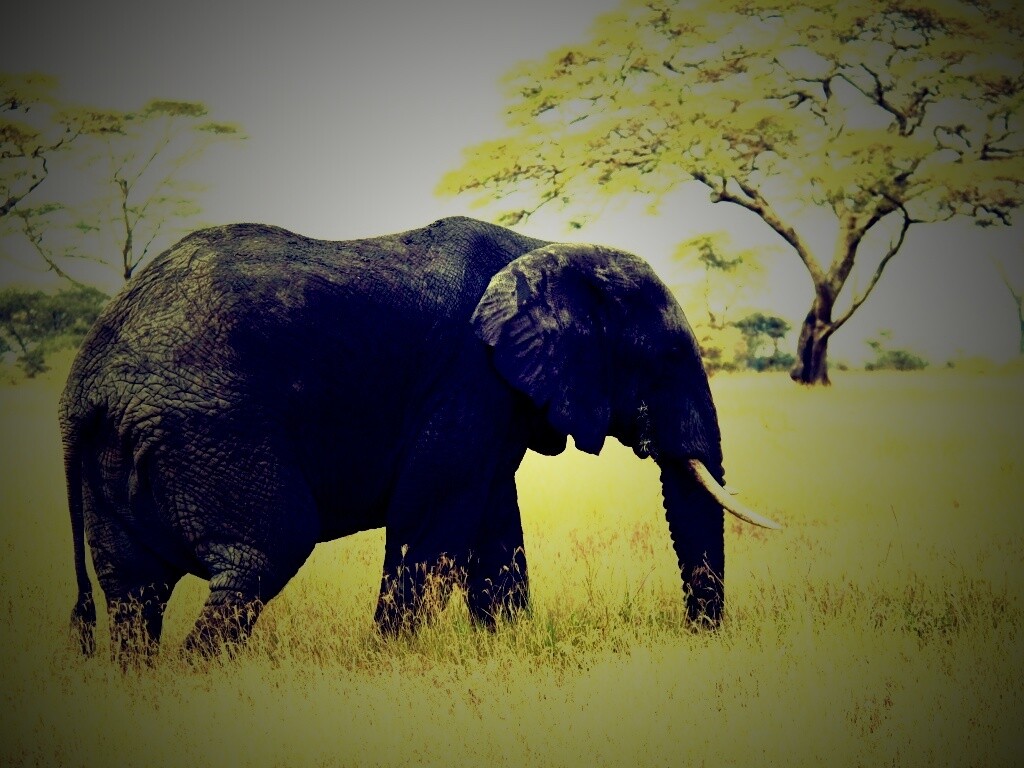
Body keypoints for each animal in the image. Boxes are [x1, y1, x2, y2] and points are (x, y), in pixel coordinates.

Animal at [60, 215, 779, 664]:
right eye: (666, 356)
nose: (697, 637)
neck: (546, 246)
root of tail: (83, 387)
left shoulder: (492, 400)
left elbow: (492, 526)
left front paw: (506, 650)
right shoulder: (468, 377)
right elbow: (432, 521)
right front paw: (391, 661)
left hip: (127, 448)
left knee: (133, 589)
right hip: (209, 429)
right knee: (264, 551)